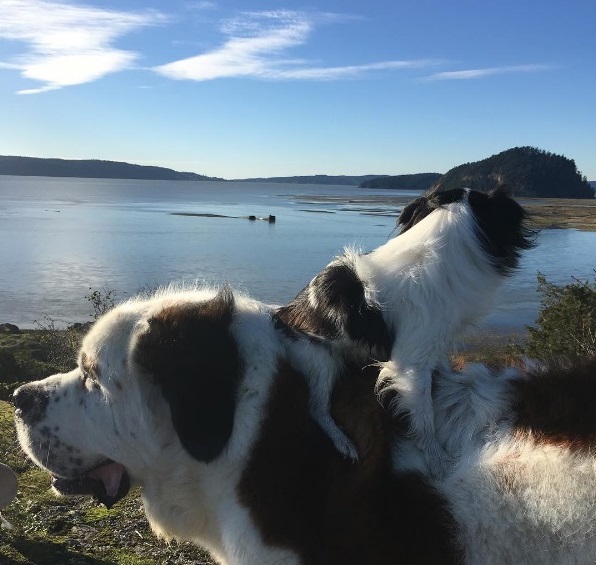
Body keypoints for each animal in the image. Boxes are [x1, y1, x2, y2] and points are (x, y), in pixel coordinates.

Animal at [278, 183, 532, 474]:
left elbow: (440, 374)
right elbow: (424, 415)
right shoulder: (412, 365)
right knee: (317, 408)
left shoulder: (434, 344)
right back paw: (343, 442)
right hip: (321, 359)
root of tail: (283, 312)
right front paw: (437, 460)